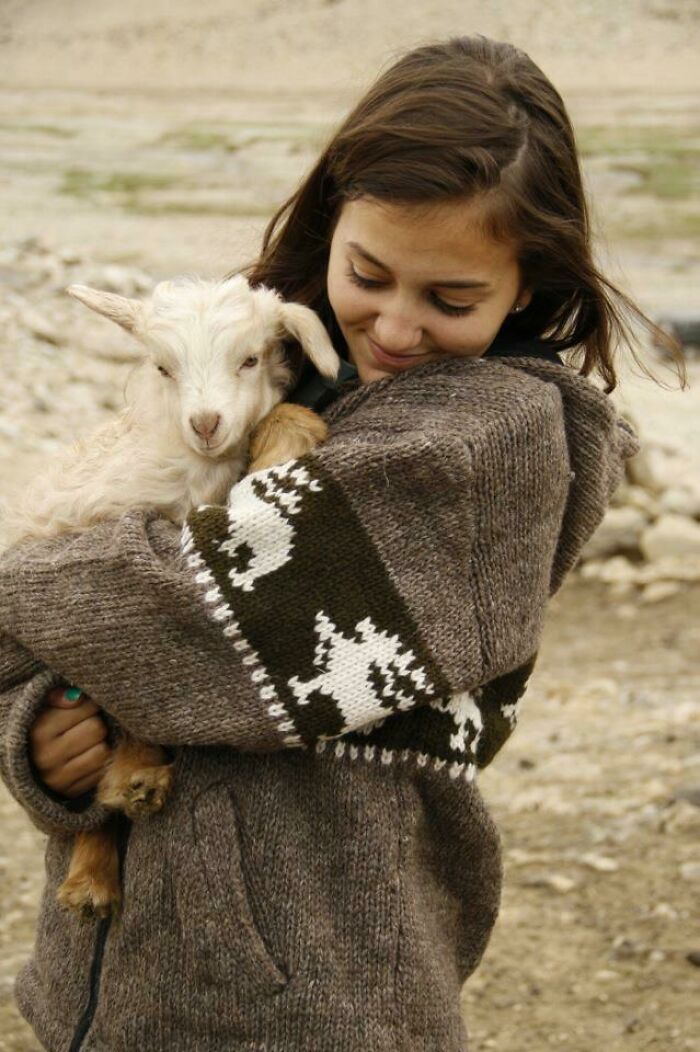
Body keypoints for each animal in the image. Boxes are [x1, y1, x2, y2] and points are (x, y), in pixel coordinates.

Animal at [6, 274, 341, 919]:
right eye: (164, 367)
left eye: (250, 358)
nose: (205, 423)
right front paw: (131, 778)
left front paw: (294, 425)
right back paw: (114, 824)